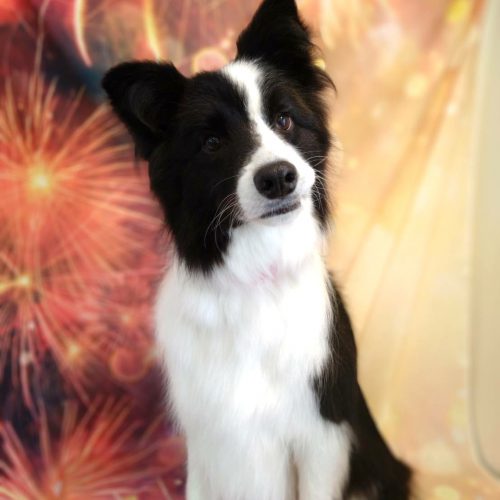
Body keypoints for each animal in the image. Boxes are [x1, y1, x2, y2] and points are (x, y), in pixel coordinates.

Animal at [102, 0, 412, 498]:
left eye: (284, 120)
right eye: (211, 143)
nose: (278, 177)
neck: (255, 277)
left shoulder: (321, 435)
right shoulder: (208, 438)